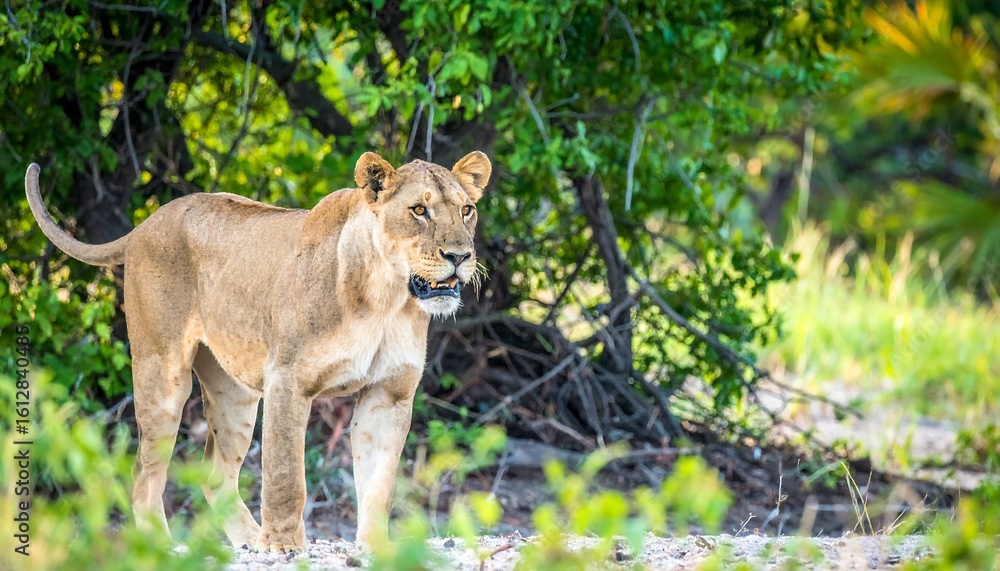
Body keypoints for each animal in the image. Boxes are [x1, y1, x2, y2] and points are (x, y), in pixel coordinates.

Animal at [24, 151, 491, 552]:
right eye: (419, 211)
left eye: (467, 210)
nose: (460, 255)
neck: (386, 300)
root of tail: (147, 222)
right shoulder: (287, 379)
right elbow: (286, 475)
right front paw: (284, 546)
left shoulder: (389, 394)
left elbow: (379, 483)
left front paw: (377, 548)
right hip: (163, 373)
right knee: (144, 471)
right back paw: (162, 543)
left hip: (235, 392)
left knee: (215, 475)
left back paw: (248, 540)